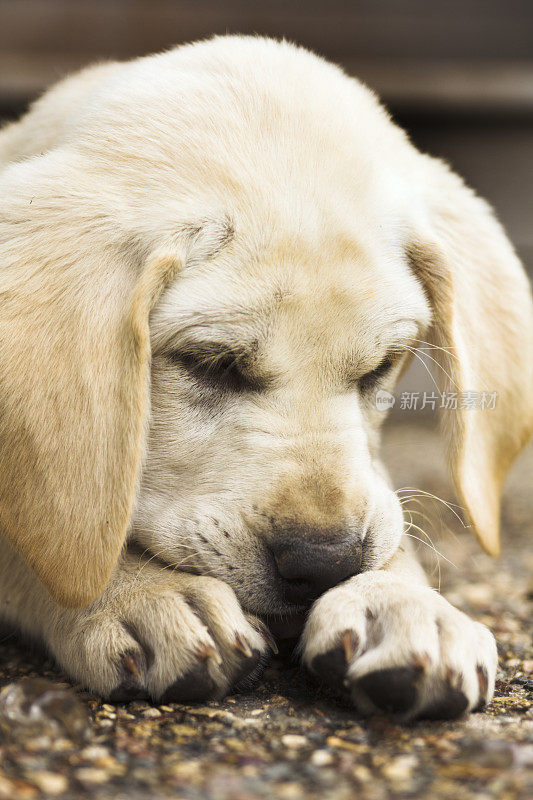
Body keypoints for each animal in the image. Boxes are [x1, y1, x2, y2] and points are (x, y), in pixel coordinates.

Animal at [1, 36, 532, 720]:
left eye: (383, 364)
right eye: (210, 362)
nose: (324, 564)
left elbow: (387, 517)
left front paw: (401, 602)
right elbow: (59, 522)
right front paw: (143, 594)